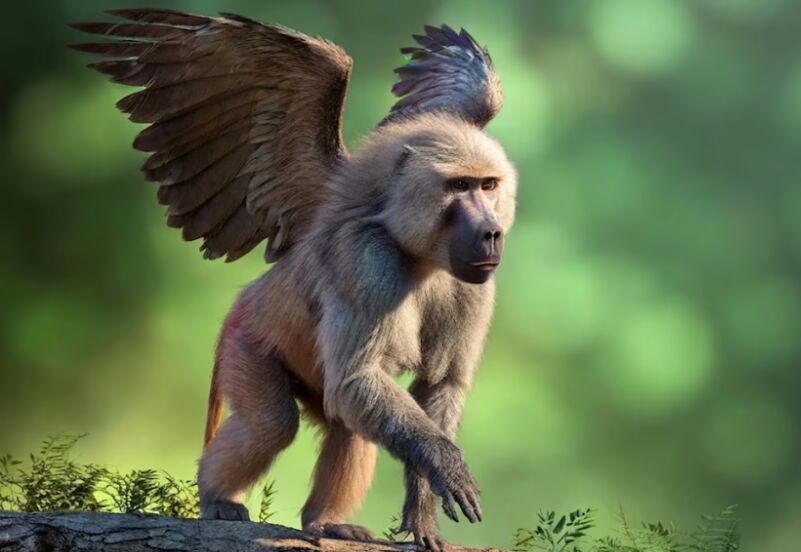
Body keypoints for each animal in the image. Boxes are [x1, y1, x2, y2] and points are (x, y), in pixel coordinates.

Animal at [73, 9, 516, 551]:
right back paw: (216, 497)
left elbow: (438, 384)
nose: (491, 233)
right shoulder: (366, 260)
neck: (422, 256)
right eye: (460, 186)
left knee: (349, 419)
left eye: (489, 185)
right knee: (274, 423)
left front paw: (424, 512)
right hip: (245, 344)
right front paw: (446, 467)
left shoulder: (474, 287)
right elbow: (362, 377)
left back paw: (323, 521)